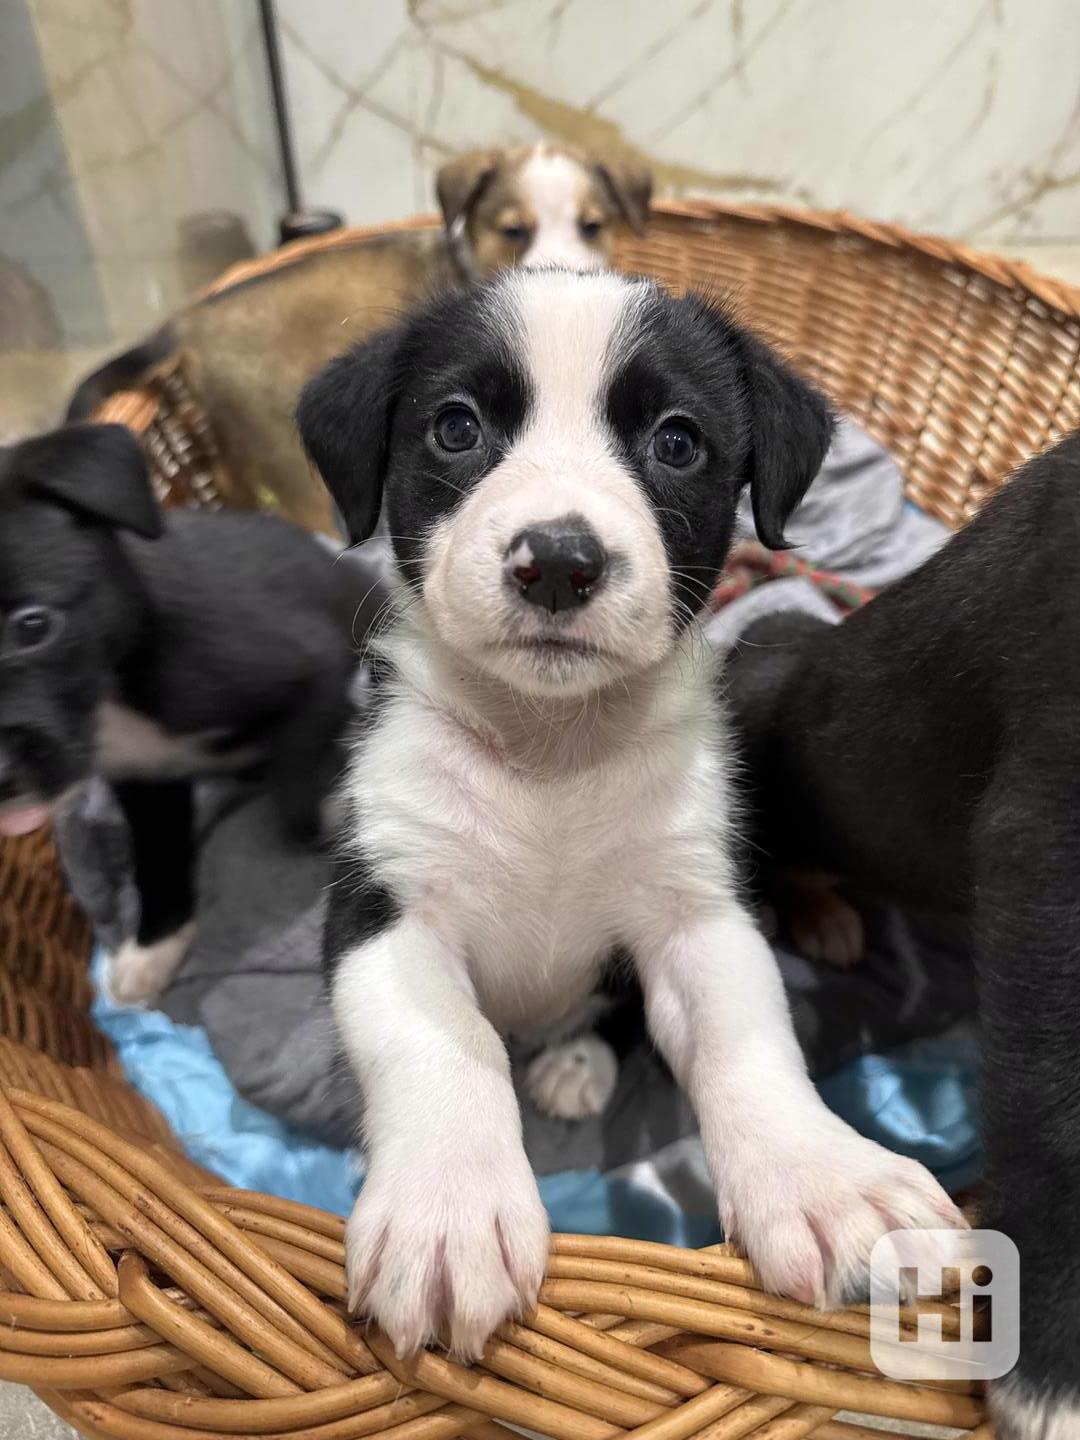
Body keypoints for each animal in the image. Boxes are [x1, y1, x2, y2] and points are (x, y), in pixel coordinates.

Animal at [0, 423, 364, 1002]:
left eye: (33, 624)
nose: (1, 780)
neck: (116, 687)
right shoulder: (146, 781)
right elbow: (157, 860)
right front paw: (156, 946)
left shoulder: (313, 665)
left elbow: (296, 797)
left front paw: (333, 811)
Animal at [296, 267, 961, 1359]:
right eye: (455, 426)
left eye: (678, 442)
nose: (560, 561)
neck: (552, 753)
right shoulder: (385, 912)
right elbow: (446, 1042)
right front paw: (448, 1210)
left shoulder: (699, 916)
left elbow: (749, 1042)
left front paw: (825, 1177)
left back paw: (577, 1061)